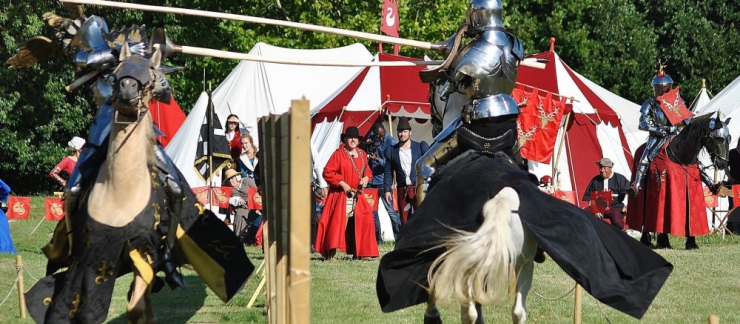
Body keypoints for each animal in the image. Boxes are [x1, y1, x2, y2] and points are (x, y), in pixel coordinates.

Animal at [628, 114, 732, 251]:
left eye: (729, 138)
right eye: (719, 139)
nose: (722, 163)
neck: (682, 157)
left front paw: (692, 243)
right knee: (644, 216)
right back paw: (648, 241)